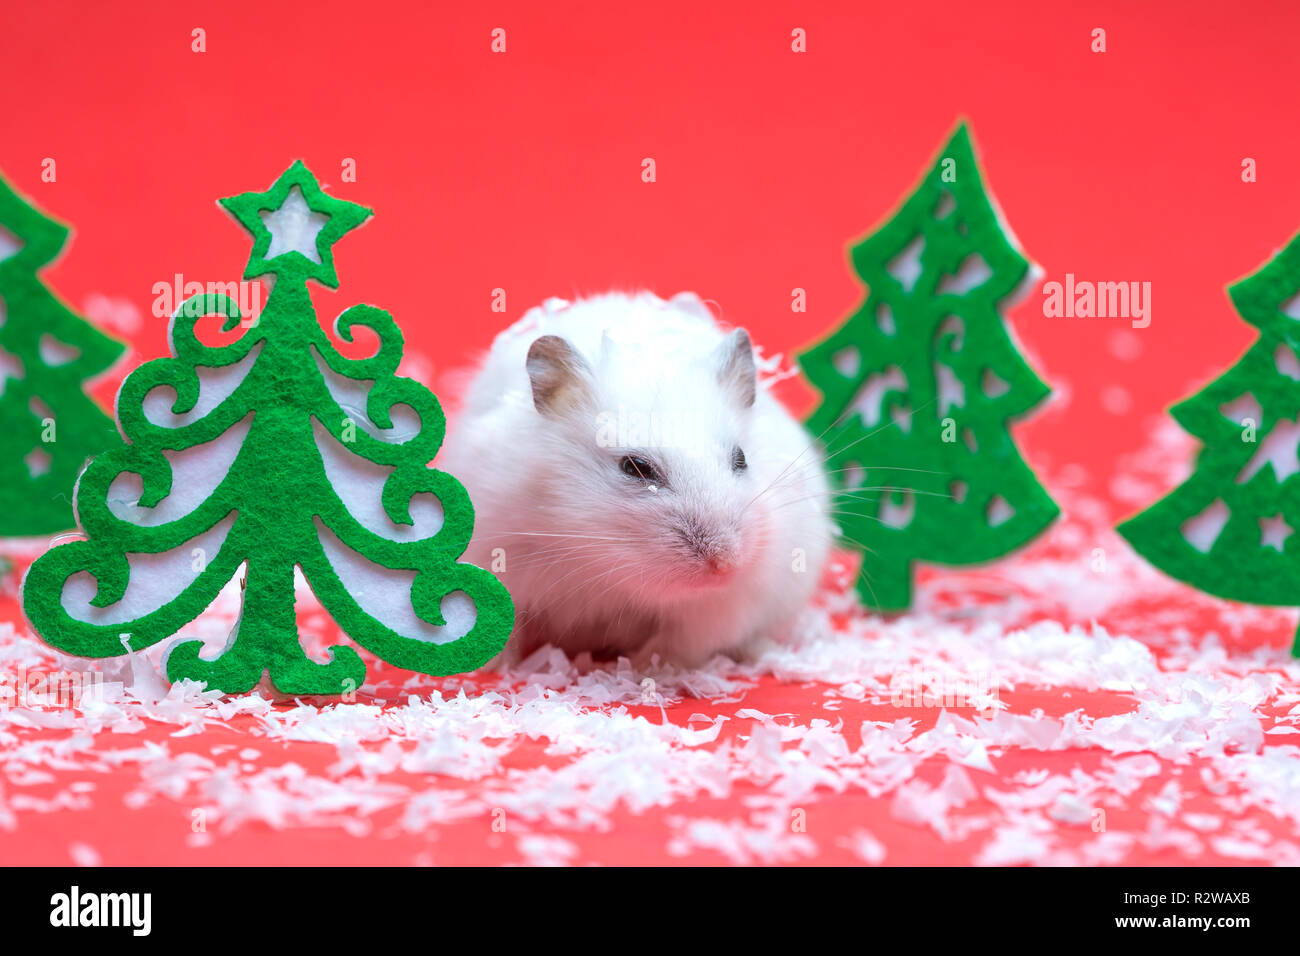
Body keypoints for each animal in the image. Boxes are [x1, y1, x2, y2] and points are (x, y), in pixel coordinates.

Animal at [439, 291, 833, 668]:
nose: (725, 566)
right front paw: (492, 668)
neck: (604, 562)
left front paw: (642, 669)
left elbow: (681, 642)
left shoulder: (727, 604)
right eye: (636, 467)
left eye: (741, 459)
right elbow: (503, 624)